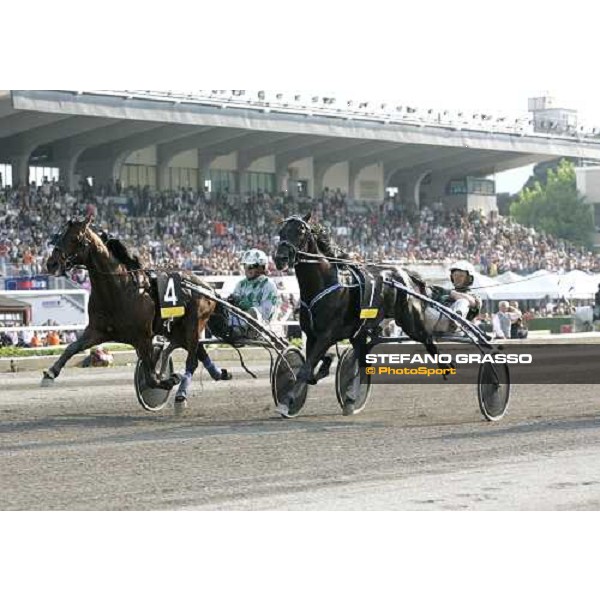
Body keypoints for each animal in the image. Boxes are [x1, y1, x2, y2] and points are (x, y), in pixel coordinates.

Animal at [45, 217, 230, 412]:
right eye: (59, 236)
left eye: (75, 238)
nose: (51, 263)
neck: (119, 289)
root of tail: (208, 287)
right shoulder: (97, 331)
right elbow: (72, 347)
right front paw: (50, 373)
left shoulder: (143, 337)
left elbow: (151, 377)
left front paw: (169, 379)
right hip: (177, 330)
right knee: (198, 353)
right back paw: (219, 374)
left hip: (194, 324)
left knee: (191, 361)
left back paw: (181, 396)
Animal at [276, 216, 440, 418]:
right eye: (281, 231)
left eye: (300, 231)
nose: (280, 258)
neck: (323, 282)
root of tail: (405, 274)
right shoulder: (313, 335)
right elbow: (310, 368)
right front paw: (323, 368)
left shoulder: (326, 335)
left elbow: (306, 369)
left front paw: (288, 401)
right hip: (361, 332)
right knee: (362, 362)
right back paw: (350, 400)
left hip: (410, 322)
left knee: (428, 339)